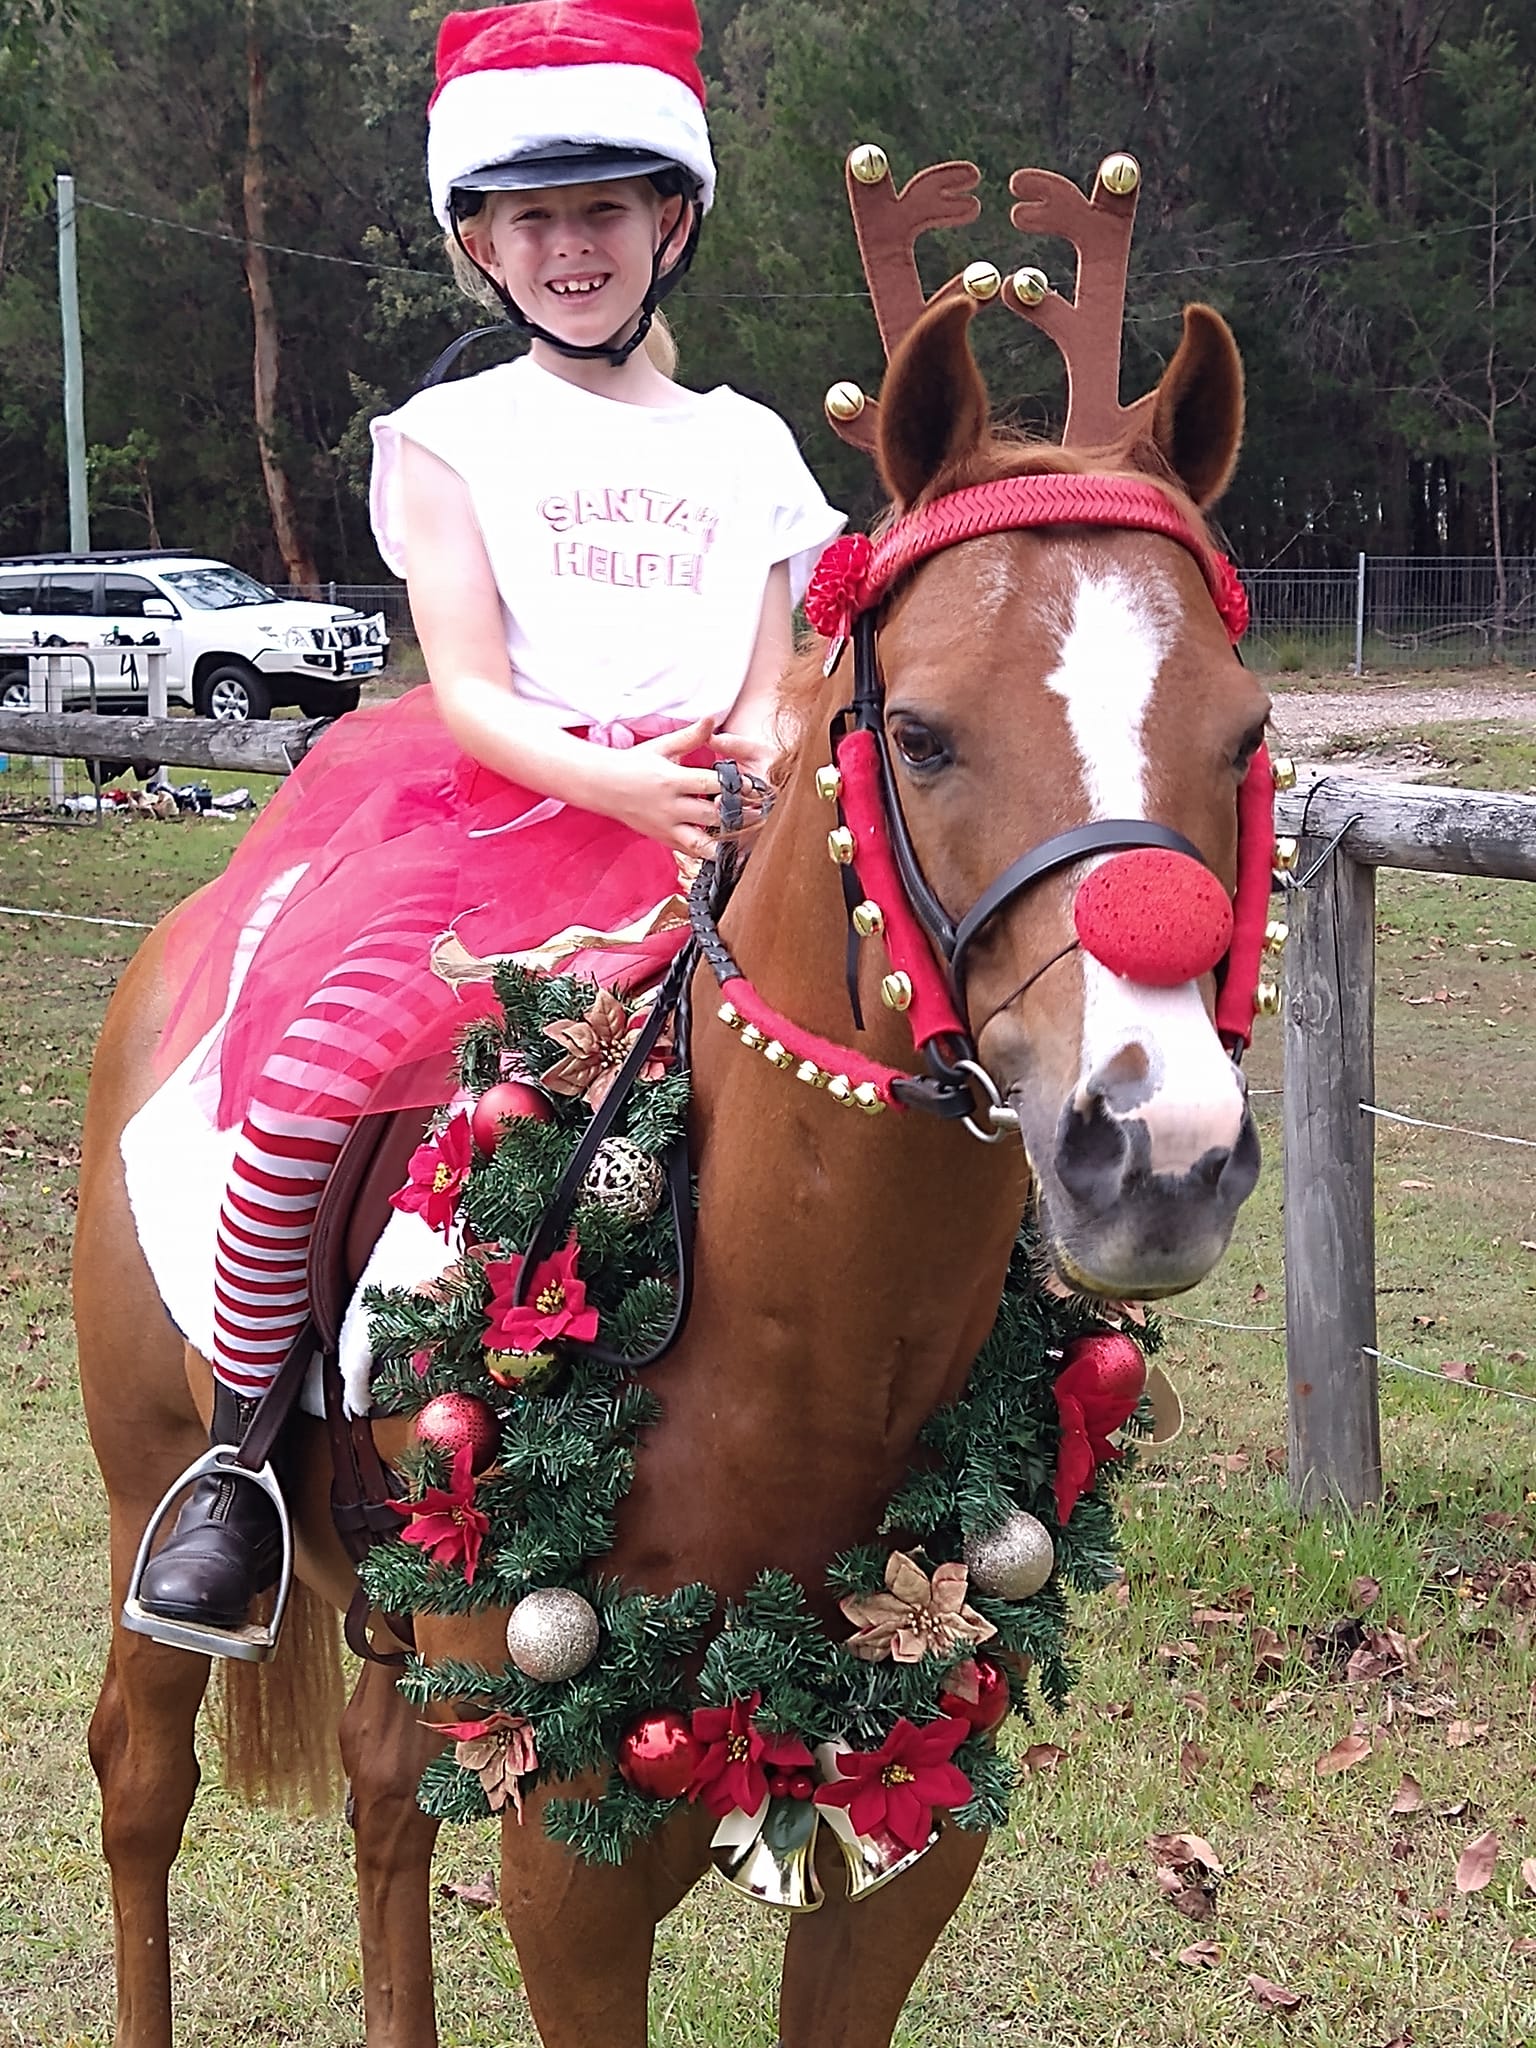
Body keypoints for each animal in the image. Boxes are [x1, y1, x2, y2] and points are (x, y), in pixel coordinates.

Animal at [76, 239, 1272, 2046]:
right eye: (920, 734)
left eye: (1245, 733)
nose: (1160, 1150)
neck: (781, 1324)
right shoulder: (573, 1857)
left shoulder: (912, 1823)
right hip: (159, 1492)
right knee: (141, 1783)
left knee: (379, 1790)